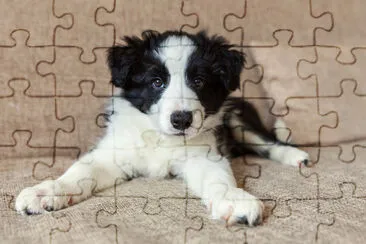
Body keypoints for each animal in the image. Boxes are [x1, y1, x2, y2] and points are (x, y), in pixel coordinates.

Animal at [15, 30, 310, 227]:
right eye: (156, 82)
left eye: (199, 81)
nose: (181, 120)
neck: (160, 138)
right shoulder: (114, 153)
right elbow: (80, 172)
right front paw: (45, 192)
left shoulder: (203, 155)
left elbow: (218, 179)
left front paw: (235, 200)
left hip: (237, 117)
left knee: (268, 141)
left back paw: (297, 157)